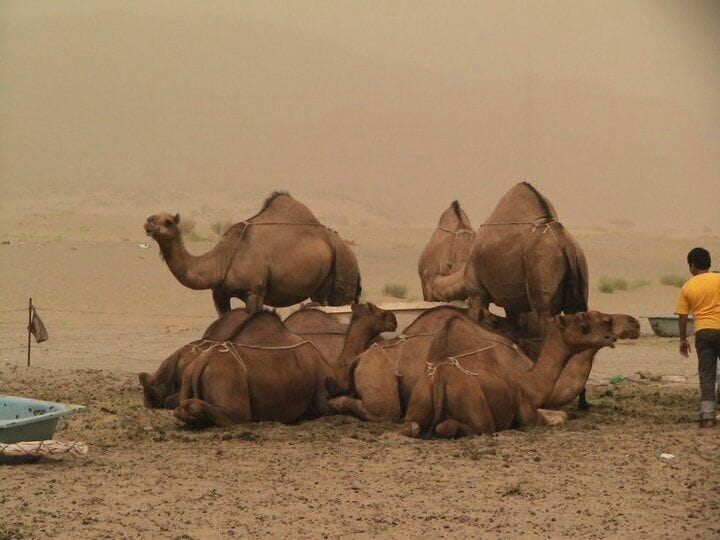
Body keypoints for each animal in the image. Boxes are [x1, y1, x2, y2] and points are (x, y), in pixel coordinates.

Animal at [144, 192, 361, 315]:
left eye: (168, 222)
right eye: (153, 218)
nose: (149, 222)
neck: (221, 260)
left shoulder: (254, 291)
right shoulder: (219, 294)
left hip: (343, 274)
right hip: (322, 286)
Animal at [173, 304, 396, 427]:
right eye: (374, 309)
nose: (393, 318)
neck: (333, 368)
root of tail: (201, 363)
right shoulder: (321, 399)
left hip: (187, 378)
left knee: (181, 408)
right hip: (230, 390)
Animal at [402, 311, 621, 438]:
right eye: (584, 326)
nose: (610, 337)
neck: (528, 382)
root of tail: (439, 380)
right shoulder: (527, 413)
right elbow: (559, 417)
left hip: (419, 398)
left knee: (412, 427)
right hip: (477, 408)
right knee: (462, 428)